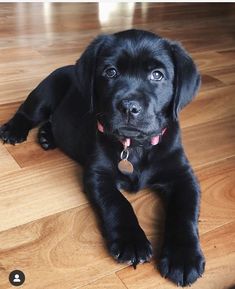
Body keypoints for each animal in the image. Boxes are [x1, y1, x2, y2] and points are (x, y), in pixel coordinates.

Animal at [0, 29, 204, 286]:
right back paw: (14, 130)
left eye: (157, 75)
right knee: (27, 112)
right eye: (111, 72)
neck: (135, 146)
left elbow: (184, 212)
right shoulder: (98, 174)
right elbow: (118, 203)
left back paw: (47, 136)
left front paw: (183, 257)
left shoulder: (183, 176)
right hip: (45, 92)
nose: (129, 107)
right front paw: (131, 241)